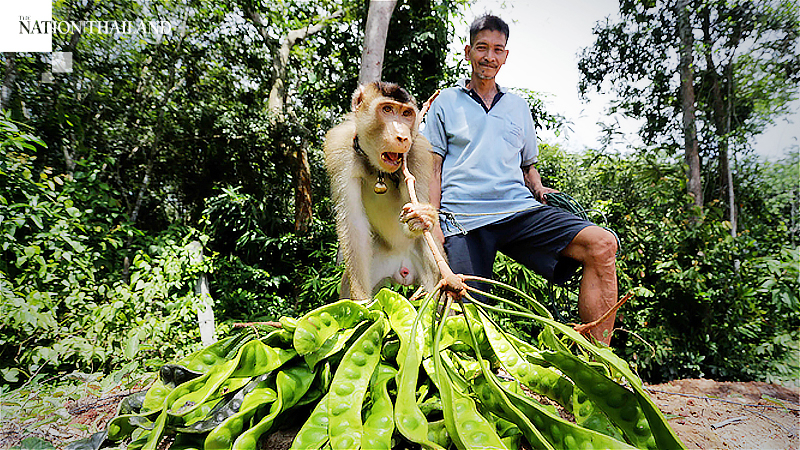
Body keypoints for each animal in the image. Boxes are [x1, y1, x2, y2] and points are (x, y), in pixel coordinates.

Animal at [324, 81, 441, 302]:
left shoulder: (419, 151)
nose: (402, 136)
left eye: (406, 114)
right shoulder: (339, 146)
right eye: (387, 110)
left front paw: (421, 216)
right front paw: (362, 302)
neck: (378, 169)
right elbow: (354, 224)